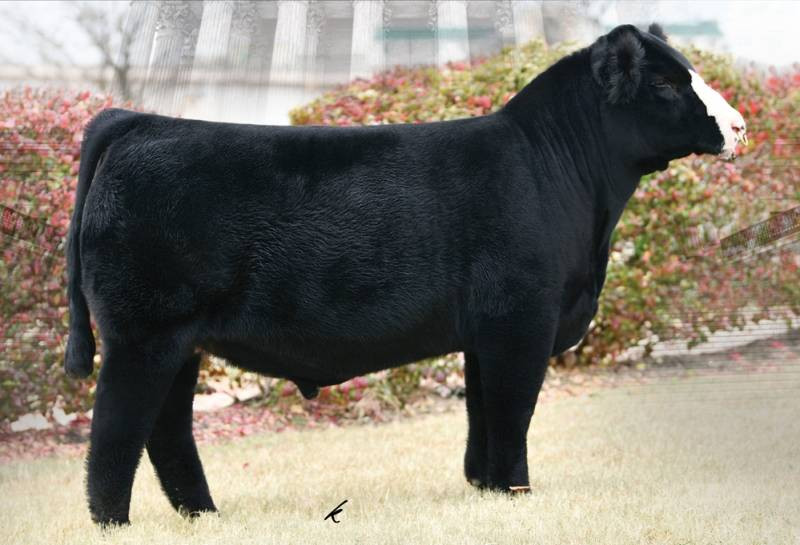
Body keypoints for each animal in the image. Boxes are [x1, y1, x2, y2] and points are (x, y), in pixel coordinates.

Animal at [64, 24, 746, 525]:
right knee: (117, 430)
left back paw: (205, 516)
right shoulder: (522, 319)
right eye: (667, 84)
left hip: (179, 342)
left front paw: (485, 490)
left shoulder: (485, 333)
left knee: (167, 429)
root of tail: (140, 120)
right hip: (144, 333)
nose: (739, 126)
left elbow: (483, 413)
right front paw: (518, 493)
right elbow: (513, 410)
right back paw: (115, 523)